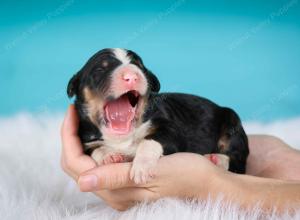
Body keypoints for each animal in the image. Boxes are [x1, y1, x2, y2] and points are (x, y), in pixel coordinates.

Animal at [67, 48, 248, 184]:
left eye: (140, 67)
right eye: (100, 70)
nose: (132, 75)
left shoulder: (170, 129)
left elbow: (149, 141)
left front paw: (142, 168)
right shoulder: (86, 139)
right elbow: (95, 148)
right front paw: (108, 155)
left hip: (232, 124)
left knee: (239, 163)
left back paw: (217, 160)